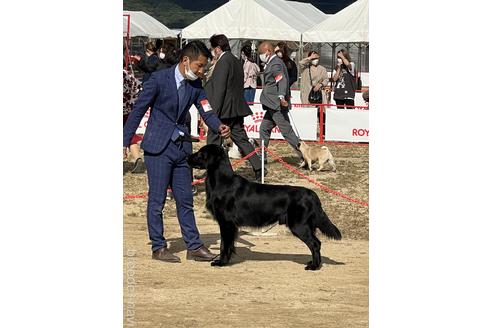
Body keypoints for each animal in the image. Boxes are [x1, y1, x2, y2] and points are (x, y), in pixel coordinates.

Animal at [188, 145, 342, 270]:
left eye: (200, 153)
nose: (186, 157)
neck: (223, 181)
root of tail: (312, 194)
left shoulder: (226, 223)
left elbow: (224, 245)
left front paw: (221, 262)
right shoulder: (229, 225)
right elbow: (227, 245)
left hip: (299, 225)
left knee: (315, 244)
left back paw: (314, 266)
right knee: (317, 243)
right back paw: (314, 263)